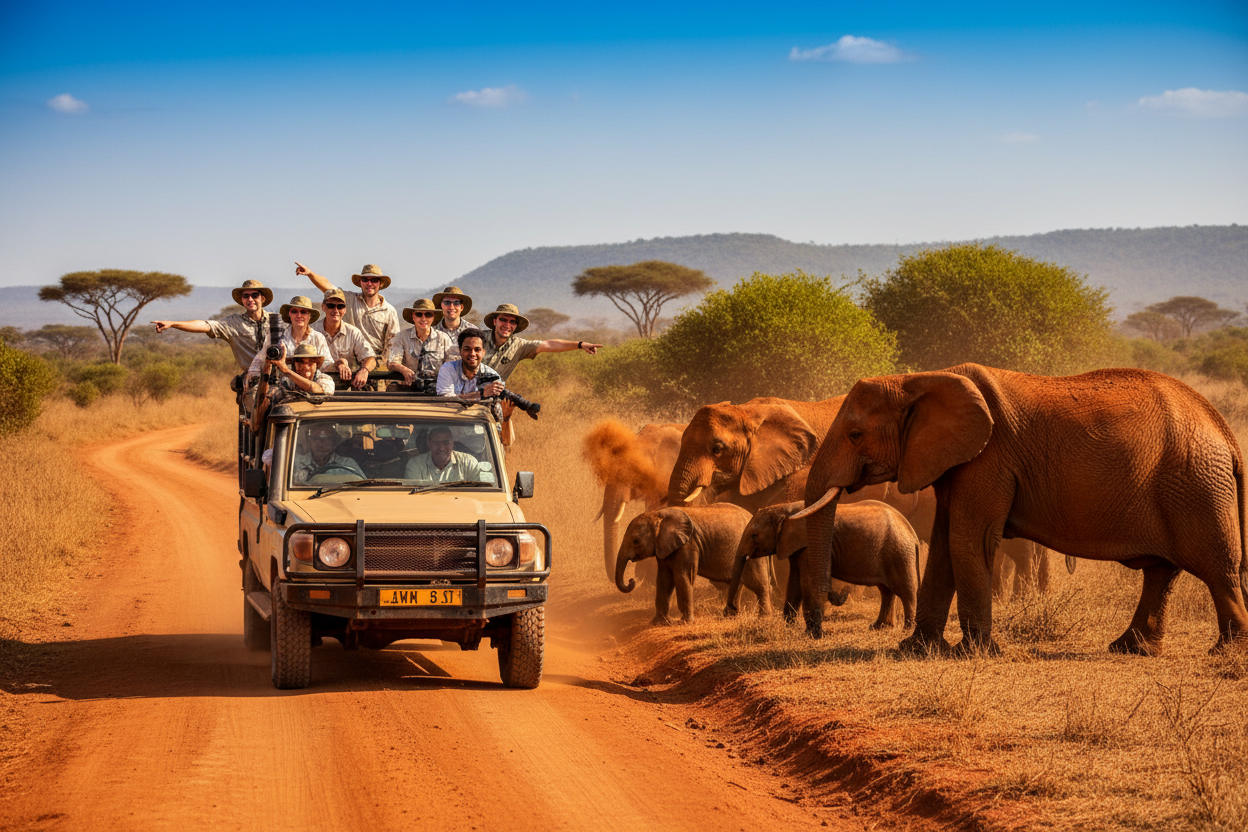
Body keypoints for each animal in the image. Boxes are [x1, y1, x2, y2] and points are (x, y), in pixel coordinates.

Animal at [615, 504, 765, 624]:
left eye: (635, 541)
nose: (631, 581)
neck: (659, 514)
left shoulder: (688, 544)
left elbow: (683, 577)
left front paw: (685, 622)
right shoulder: (665, 546)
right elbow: (664, 580)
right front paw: (658, 623)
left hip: (751, 548)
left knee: (756, 582)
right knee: (737, 583)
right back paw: (730, 616)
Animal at [725, 500, 921, 630]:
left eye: (754, 536)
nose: (732, 610)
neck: (785, 509)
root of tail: (913, 533)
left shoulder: (809, 544)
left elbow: (806, 581)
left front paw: (809, 631)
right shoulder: (796, 546)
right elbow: (794, 581)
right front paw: (790, 626)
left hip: (899, 552)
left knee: (905, 590)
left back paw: (908, 628)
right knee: (886, 591)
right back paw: (879, 627)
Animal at [796, 363, 1247, 655]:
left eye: (855, 434)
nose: (817, 630)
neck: (916, 379)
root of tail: (1224, 430)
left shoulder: (988, 459)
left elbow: (967, 540)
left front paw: (974, 653)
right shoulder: (958, 462)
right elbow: (944, 544)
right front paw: (914, 650)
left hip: (1196, 484)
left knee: (1214, 567)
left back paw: (1225, 652)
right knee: (1161, 572)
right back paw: (1129, 649)